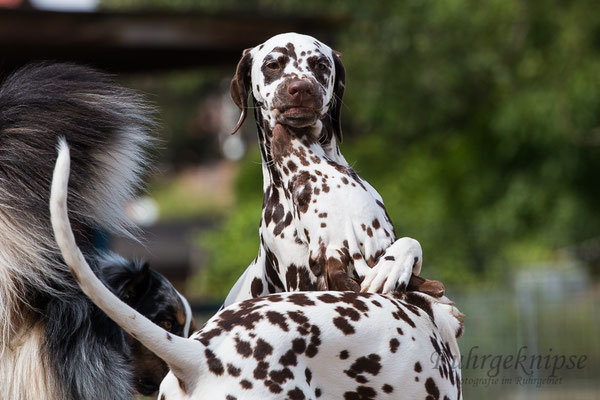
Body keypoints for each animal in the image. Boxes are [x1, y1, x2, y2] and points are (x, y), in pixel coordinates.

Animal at [223, 32, 434, 308]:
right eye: (273, 64)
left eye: (320, 65)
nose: (301, 87)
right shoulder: (301, 276)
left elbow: (410, 243)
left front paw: (393, 265)